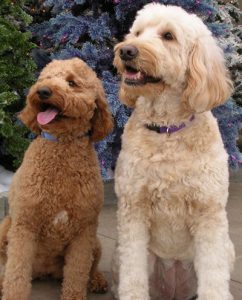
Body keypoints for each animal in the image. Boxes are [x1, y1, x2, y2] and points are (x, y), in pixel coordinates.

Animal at [0, 56, 113, 300]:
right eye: (45, 78)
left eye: (72, 82)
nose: (43, 91)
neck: (62, 144)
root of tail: (45, 272)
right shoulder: (25, 225)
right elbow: (16, 273)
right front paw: (11, 292)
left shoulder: (84, 230)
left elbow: (77, 272)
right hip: (5, 228)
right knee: (8, 266)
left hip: (96, 241)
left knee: (91, 267)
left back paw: (97, 280)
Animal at [112, 4, 235, 300]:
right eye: (137, 33)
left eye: (168, 36)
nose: (126, 50)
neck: (167, 129)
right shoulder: (133, 209)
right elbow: (133, 275)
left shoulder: (209, 212)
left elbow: (214, 277)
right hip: (121, 255)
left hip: (228, 248)